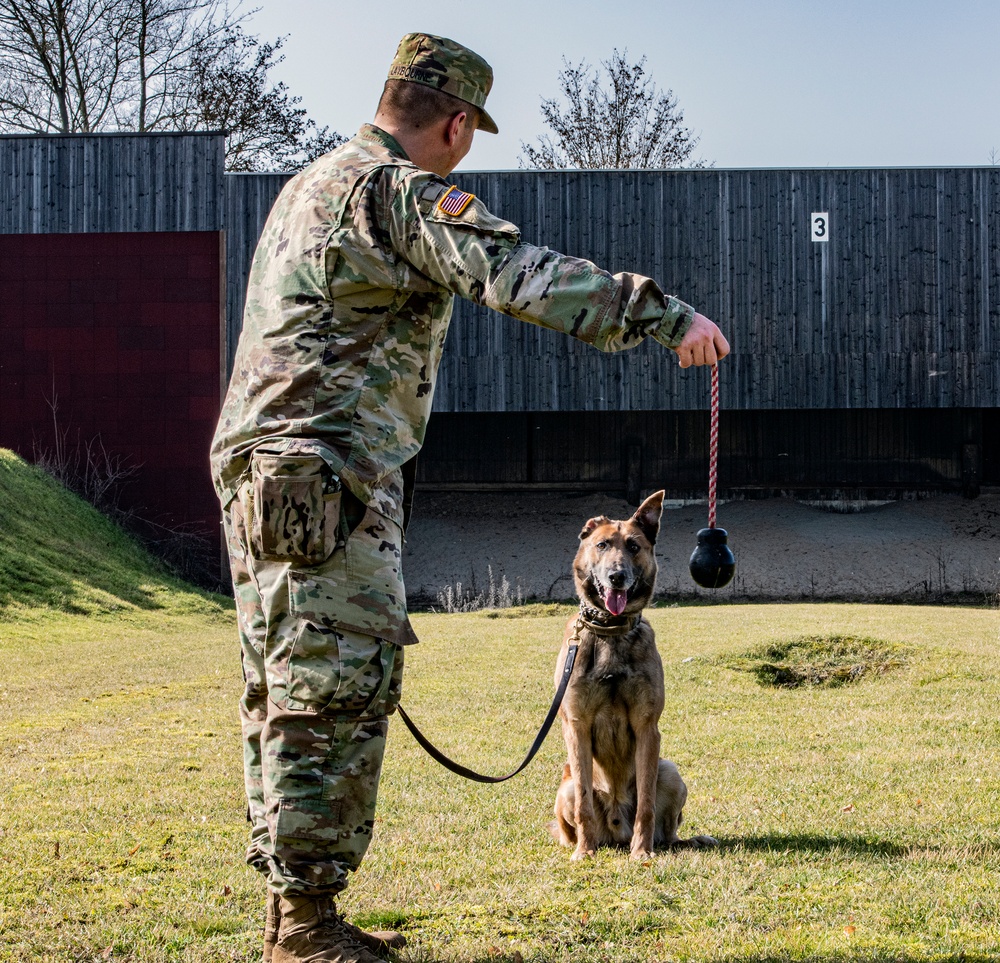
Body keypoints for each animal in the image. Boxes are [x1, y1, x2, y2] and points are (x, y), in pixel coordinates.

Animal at [552, 494, 716, 864]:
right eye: (601, 545)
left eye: (634, 546)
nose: (617, 577)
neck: (611, 632)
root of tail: (616, 830)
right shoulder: (576, 727)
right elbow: (584, 803)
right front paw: (584, 852)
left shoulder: (647, 728)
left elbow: (646, 805)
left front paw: (641, 852)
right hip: (564, 787)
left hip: (670, 772)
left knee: (667, 832)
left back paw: (681, 841)